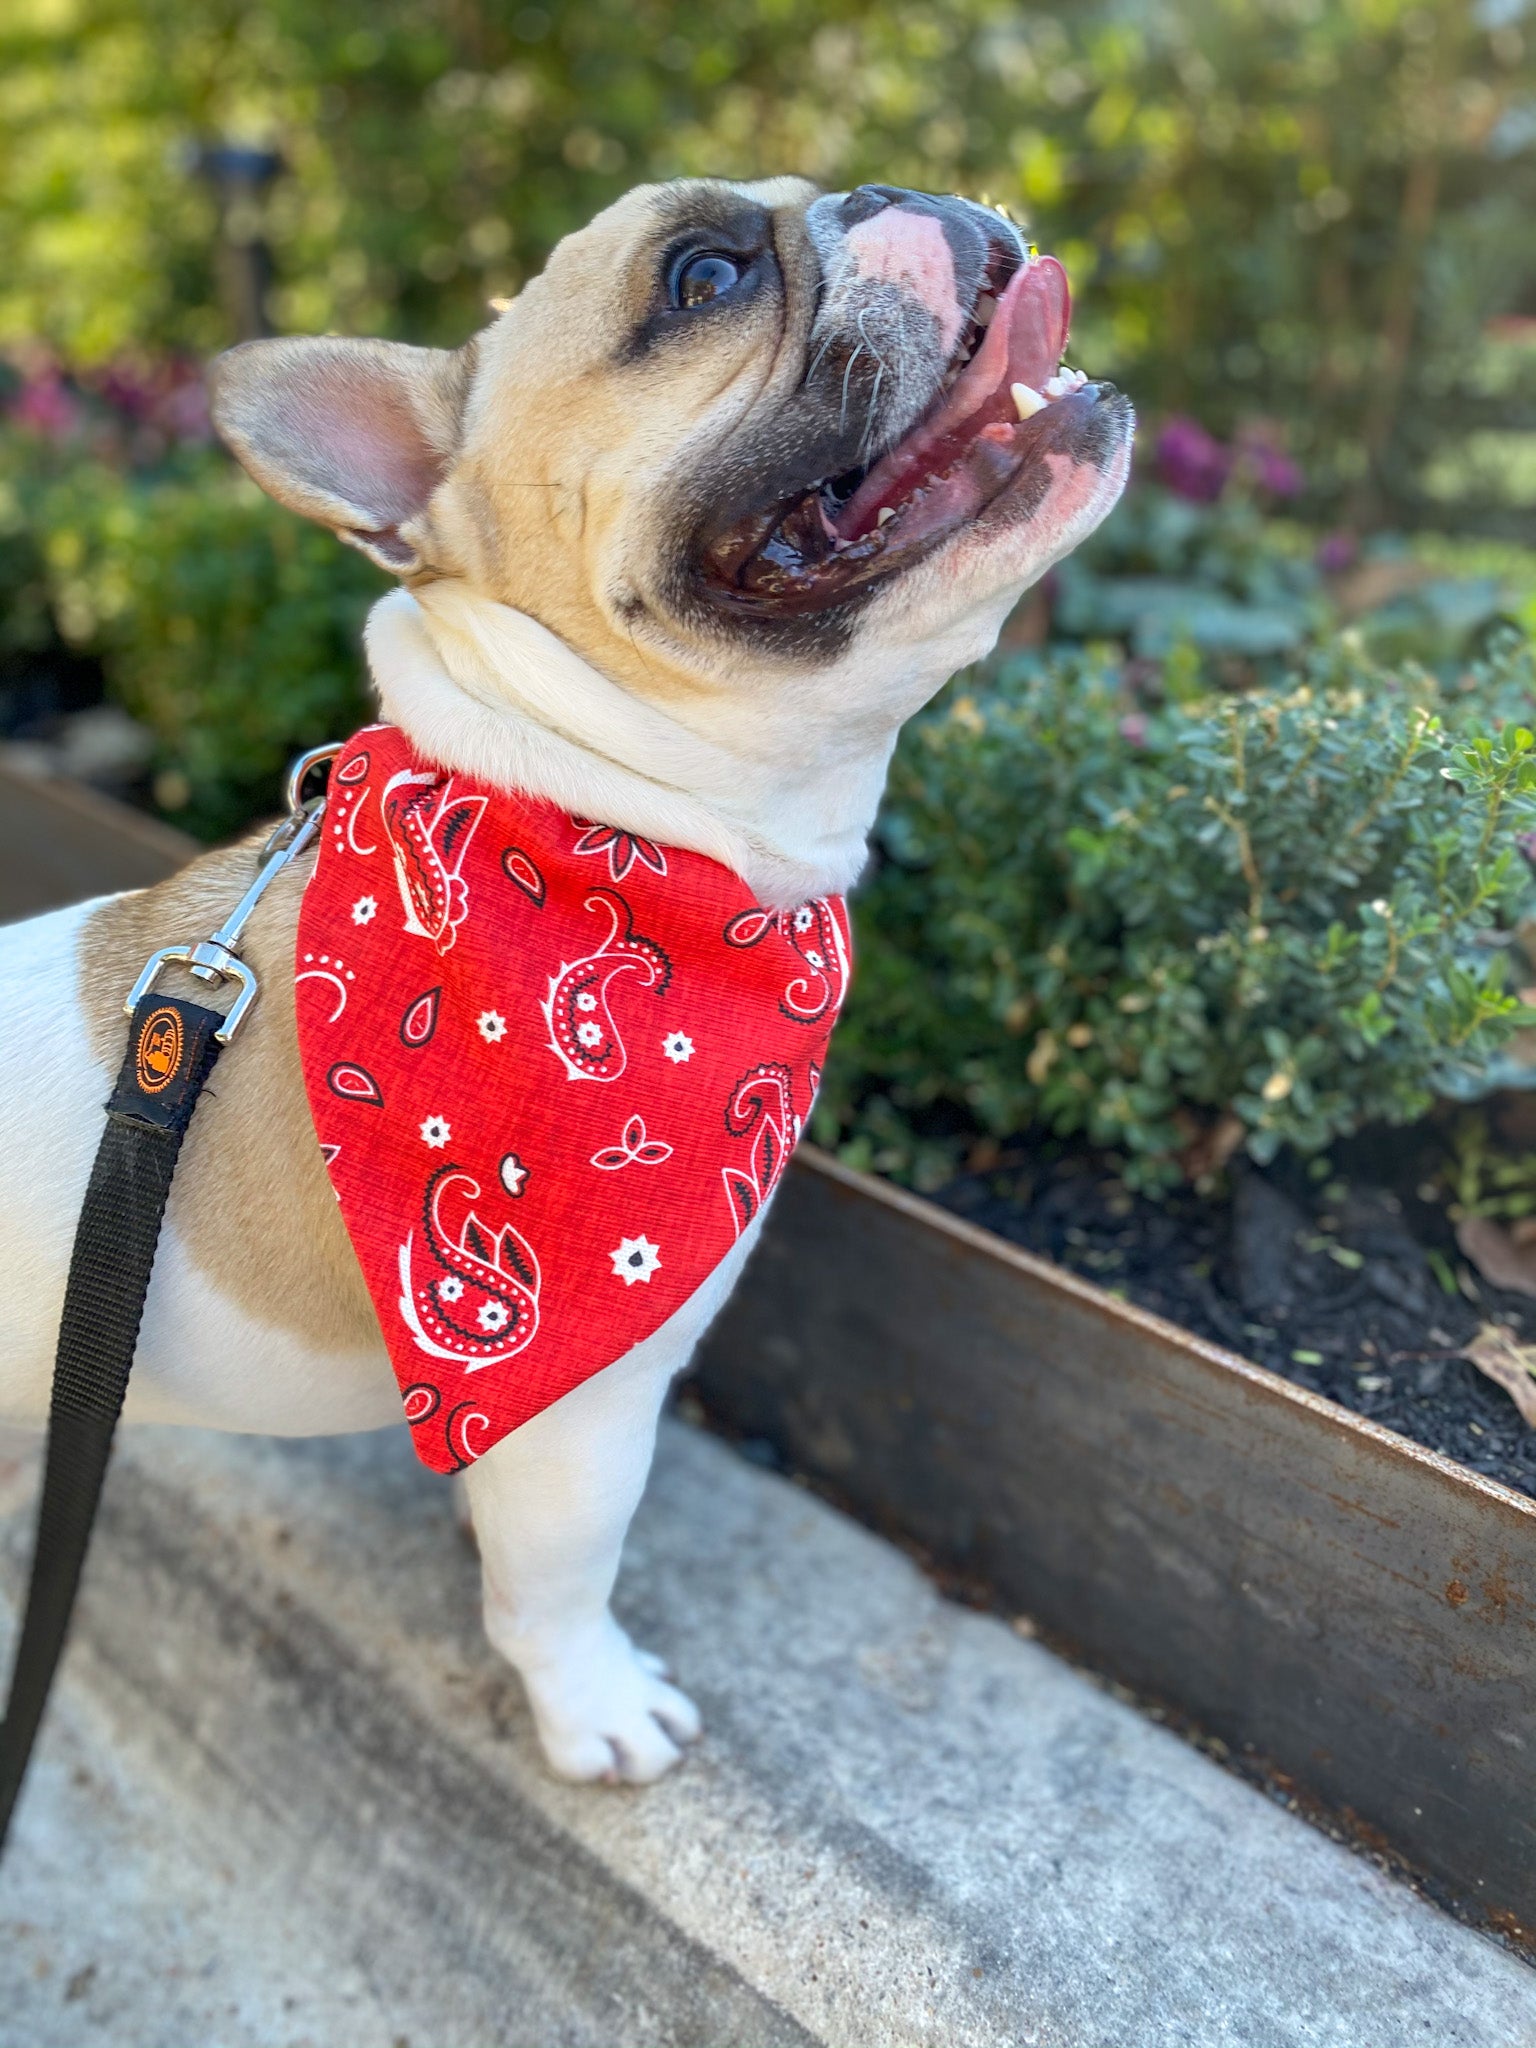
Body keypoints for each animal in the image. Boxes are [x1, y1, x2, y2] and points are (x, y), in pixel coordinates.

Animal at [0, 180, 1130, 1777]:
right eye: (702, 275)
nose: (900, 195)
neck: (590, 818)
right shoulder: (578, 1407)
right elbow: (557, 1579)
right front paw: (595, 1707)